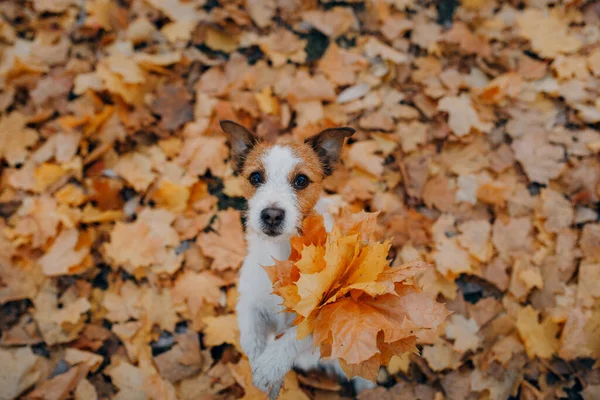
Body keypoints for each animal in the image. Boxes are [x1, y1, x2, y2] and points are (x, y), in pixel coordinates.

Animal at [220, 120, 376, 398]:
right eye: (255, 177)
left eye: (301, 180)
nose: (271, 214)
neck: (281, 253)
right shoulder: (249, 300)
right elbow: (251, 336)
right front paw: (260, 365)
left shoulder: (324, 313)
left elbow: (292, 338)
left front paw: (269, 367)